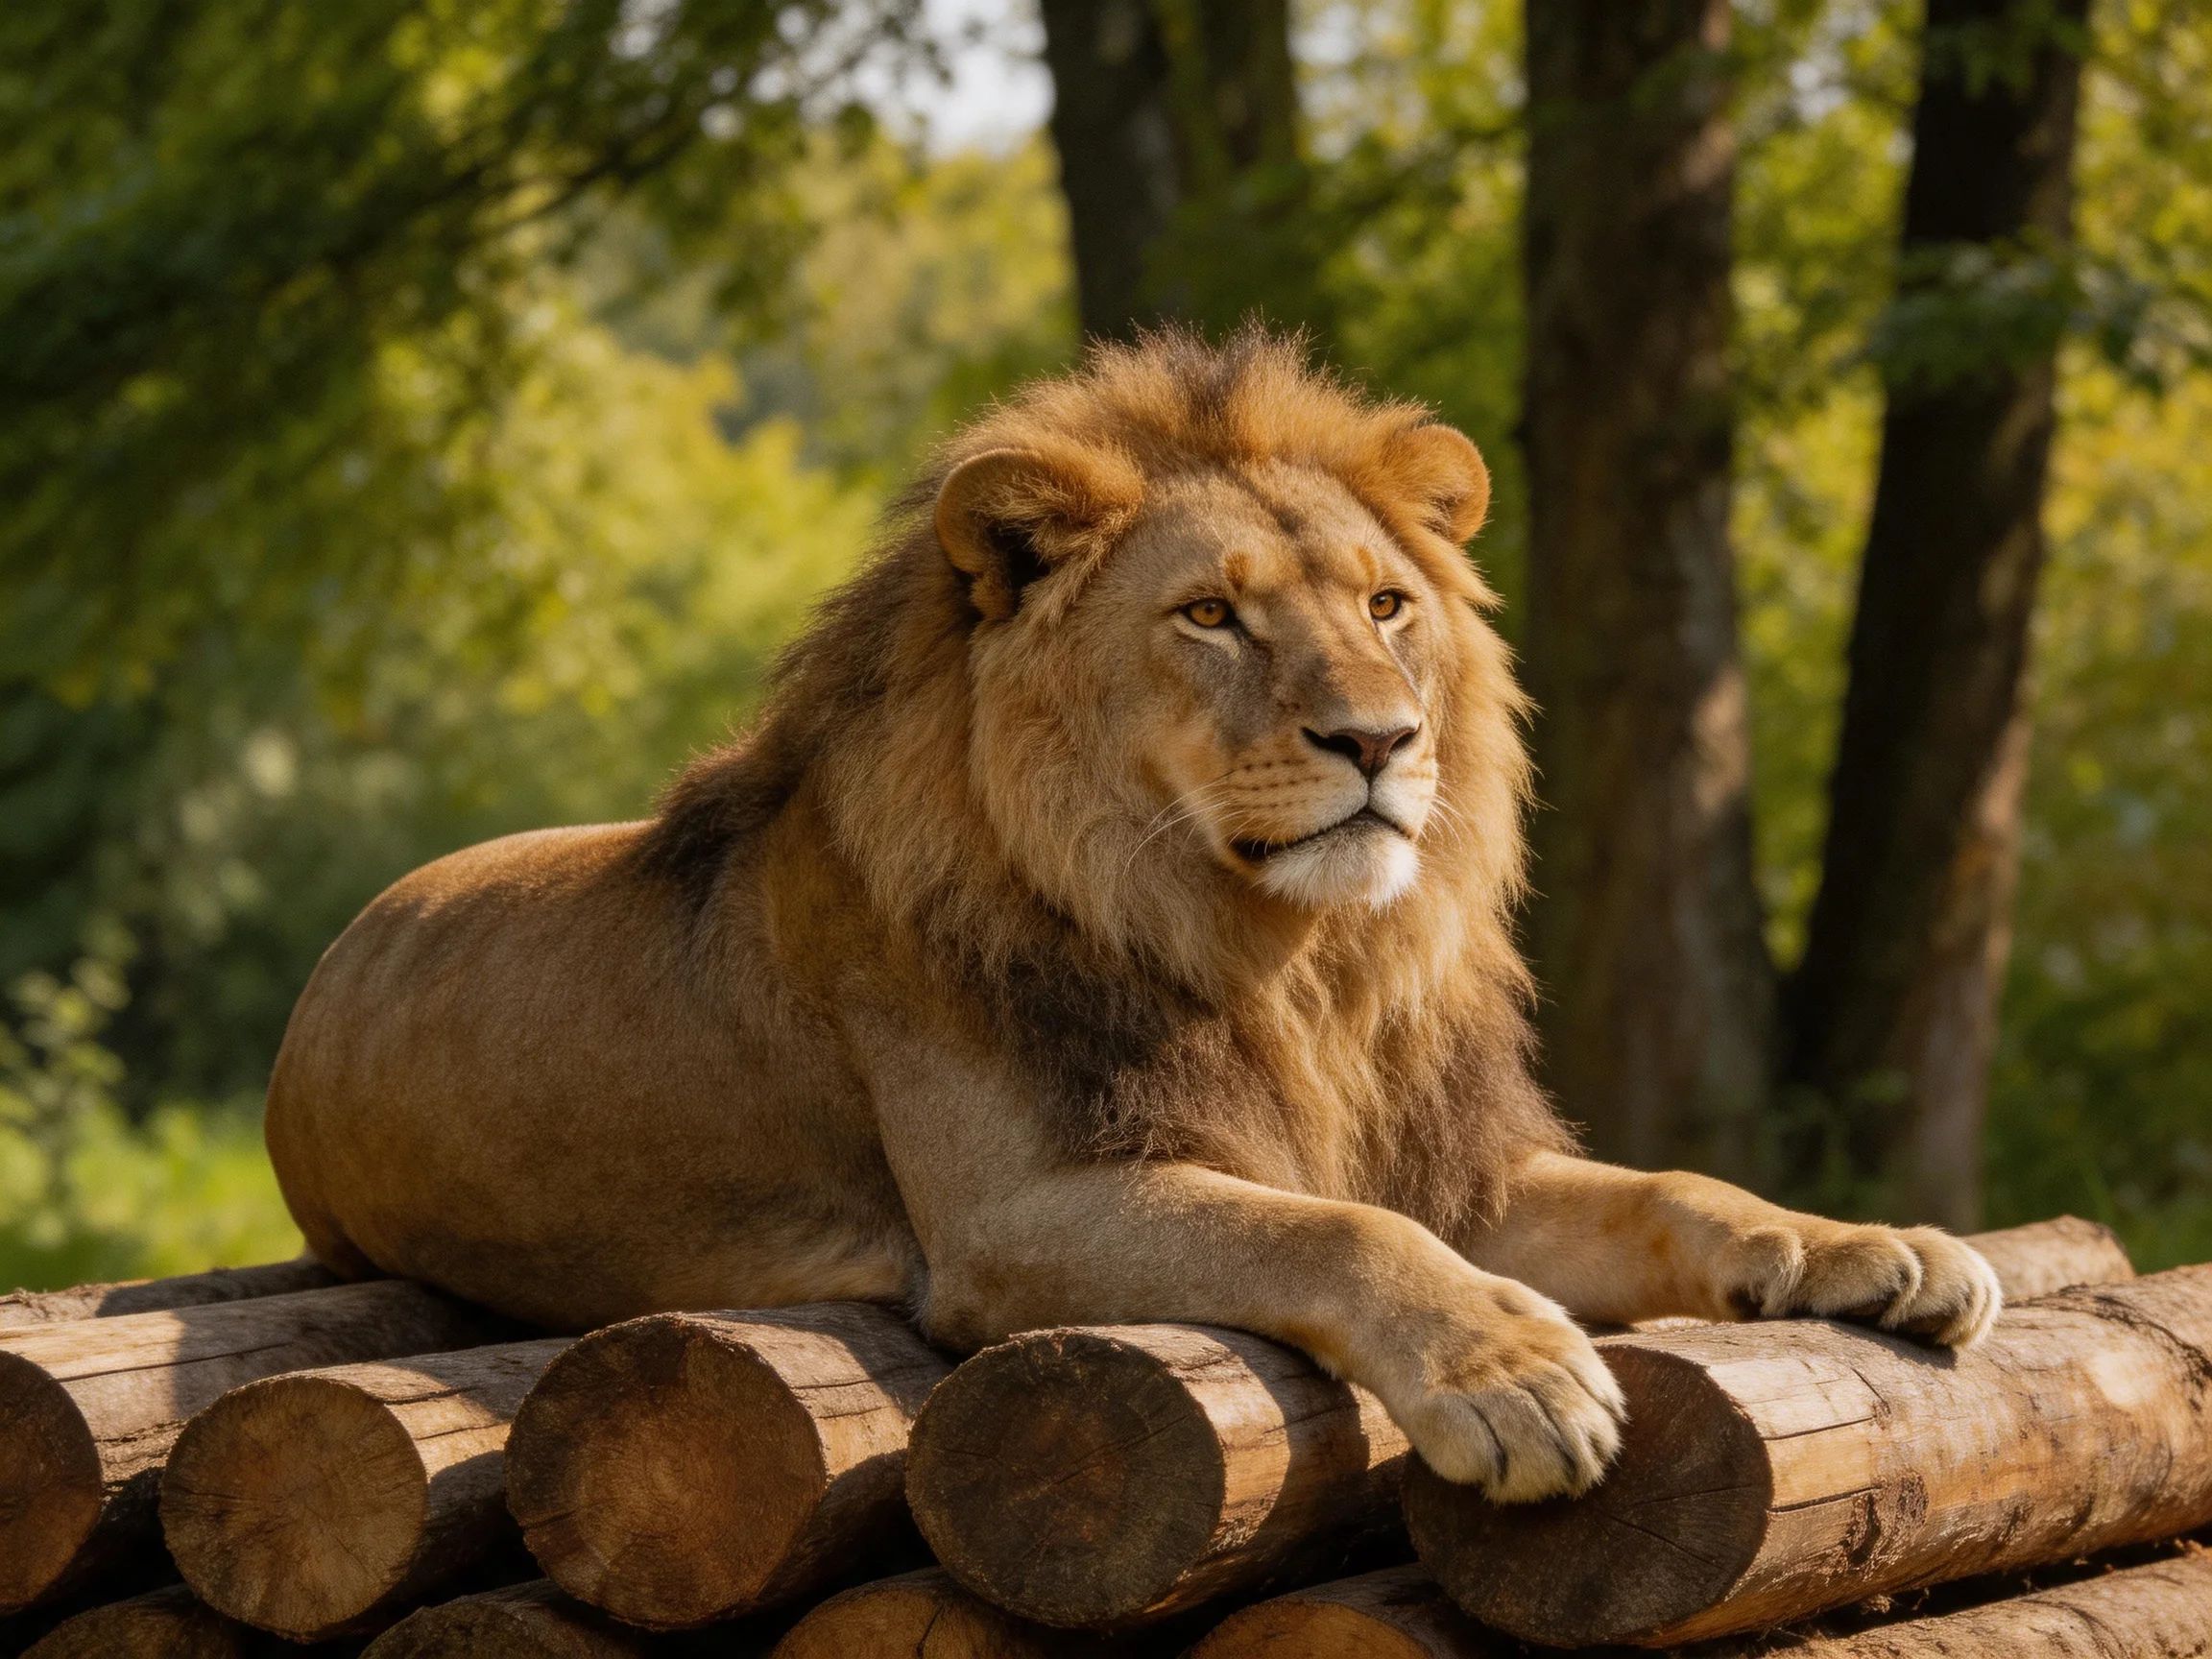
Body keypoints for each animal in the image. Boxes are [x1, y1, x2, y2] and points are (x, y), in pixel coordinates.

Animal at [266, 327, 1999, 1501]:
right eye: (1210, 614)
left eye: (1386, 603)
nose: (1380, 739)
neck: (1288, 963)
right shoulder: (1017, 1218)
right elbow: (1332, 1228)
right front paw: (1511, 1379)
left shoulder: (1444, 1159)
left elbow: (1672, 1187)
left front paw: (1870, 1244)